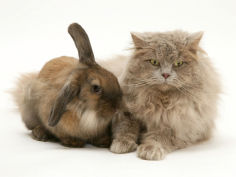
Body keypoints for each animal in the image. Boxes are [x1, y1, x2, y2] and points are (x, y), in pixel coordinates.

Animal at [101, 29, 221, 160]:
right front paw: (121, 144)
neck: (158, 102)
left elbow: (159, 137)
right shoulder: (125, 113)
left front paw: (150, 150)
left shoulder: (178, 126)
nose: (165, 74)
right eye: (154, 62)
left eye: (178, 63)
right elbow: (125, 128)